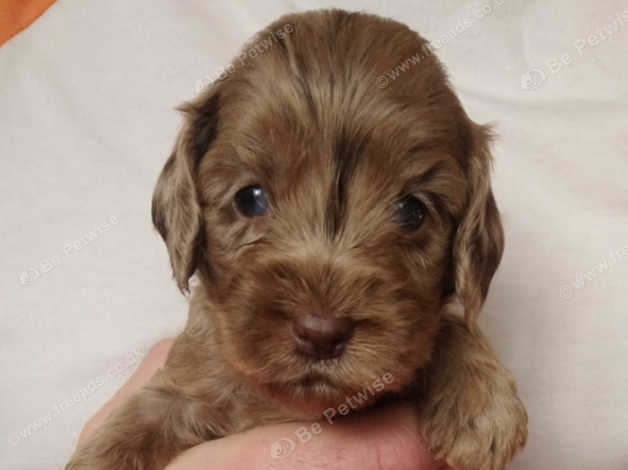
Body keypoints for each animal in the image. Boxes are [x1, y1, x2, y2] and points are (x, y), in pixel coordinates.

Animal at [67, 10, 524, 470]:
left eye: (412, 210)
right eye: (250, 198)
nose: (321, 332)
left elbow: (447, 325)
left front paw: (481, 401)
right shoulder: (183, 388)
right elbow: (132, 426)